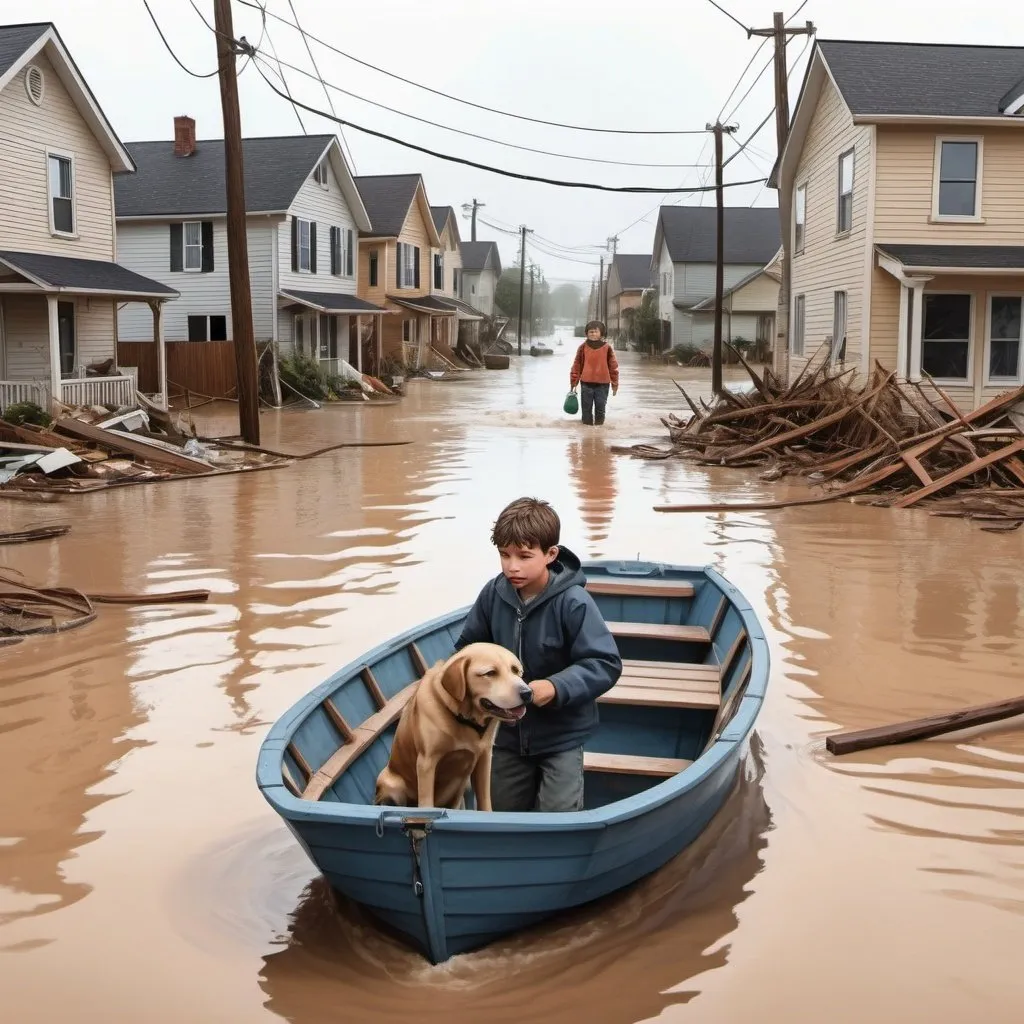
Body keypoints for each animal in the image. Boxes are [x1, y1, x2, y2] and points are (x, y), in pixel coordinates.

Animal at [376, 643, 536, 811]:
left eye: (516, 670)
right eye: (490, 673)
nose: (527, 693)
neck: (464, 719)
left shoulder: (484, 758)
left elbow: (484, 801)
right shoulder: (426, 763)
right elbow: (426, 804)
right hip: (392, 784)